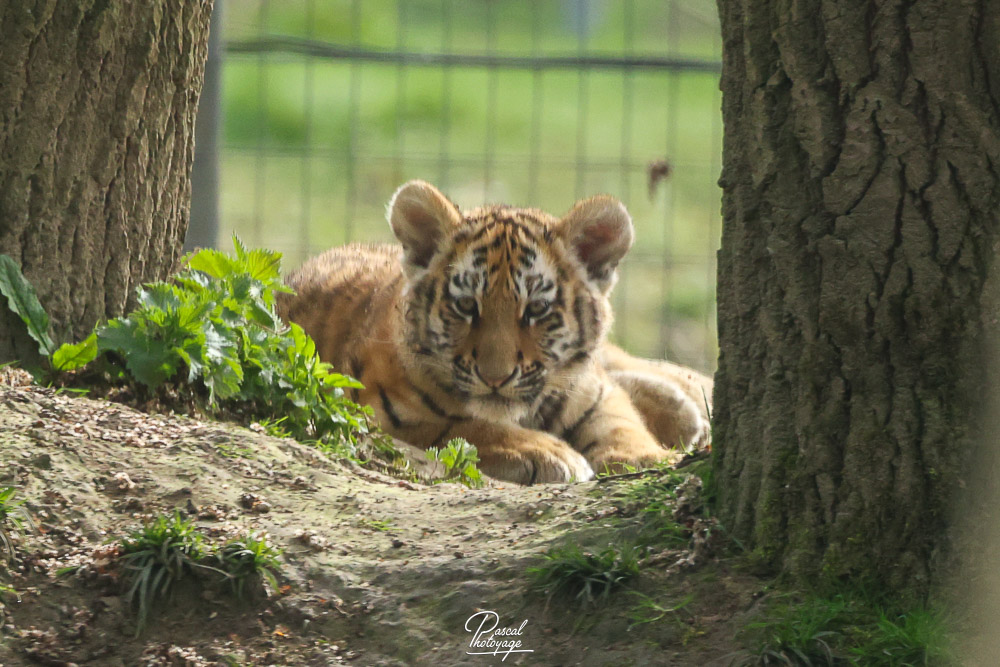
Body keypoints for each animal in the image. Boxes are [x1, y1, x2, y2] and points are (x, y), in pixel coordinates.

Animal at [278, 180, 712, 485]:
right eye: (467, 306)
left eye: (536, 309)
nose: (496, 377)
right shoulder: (376, 410)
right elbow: (465, 425)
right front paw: (548, 453)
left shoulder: (592, 393)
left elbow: (620, 422)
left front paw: (650, 457)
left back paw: (684, 404)